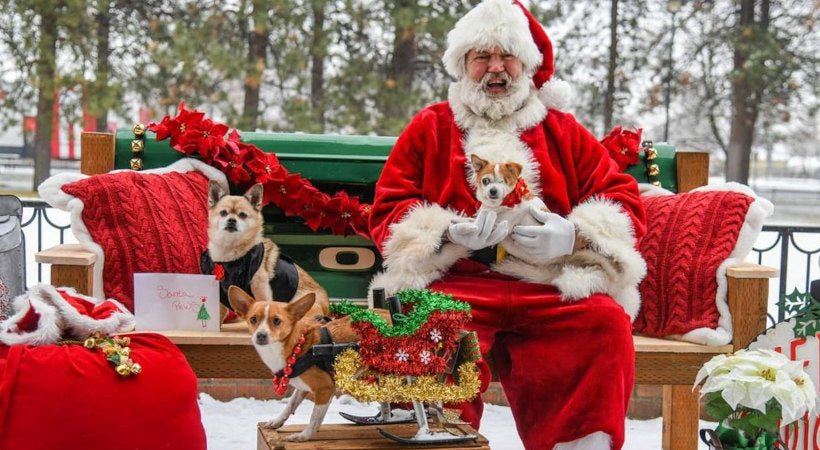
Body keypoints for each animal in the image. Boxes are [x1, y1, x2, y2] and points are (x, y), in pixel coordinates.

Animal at [226, 286, 390, 442]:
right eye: (253, 319)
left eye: (277, 321)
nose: (260, 335)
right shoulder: (301, 387)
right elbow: (290, 405)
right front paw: (277, 421)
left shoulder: (325, 389)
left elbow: (315, 418)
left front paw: (303, 436)